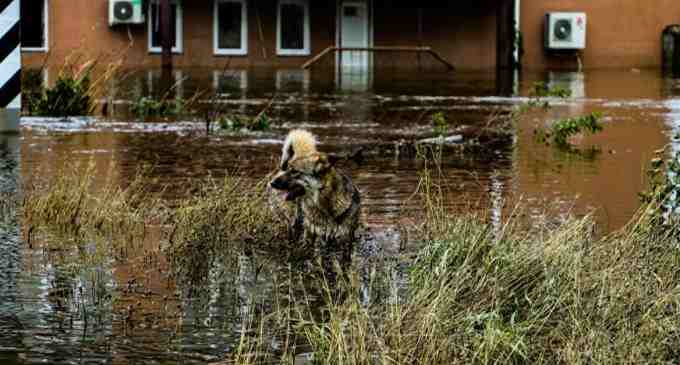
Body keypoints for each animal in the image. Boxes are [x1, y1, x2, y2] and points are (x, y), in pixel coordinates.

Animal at [268, 129, 362, 264]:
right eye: (288, 169)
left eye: (295, 171)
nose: (272, 183)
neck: (327, 205)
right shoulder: (314, 236)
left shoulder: (345, 240)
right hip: (298, 224)